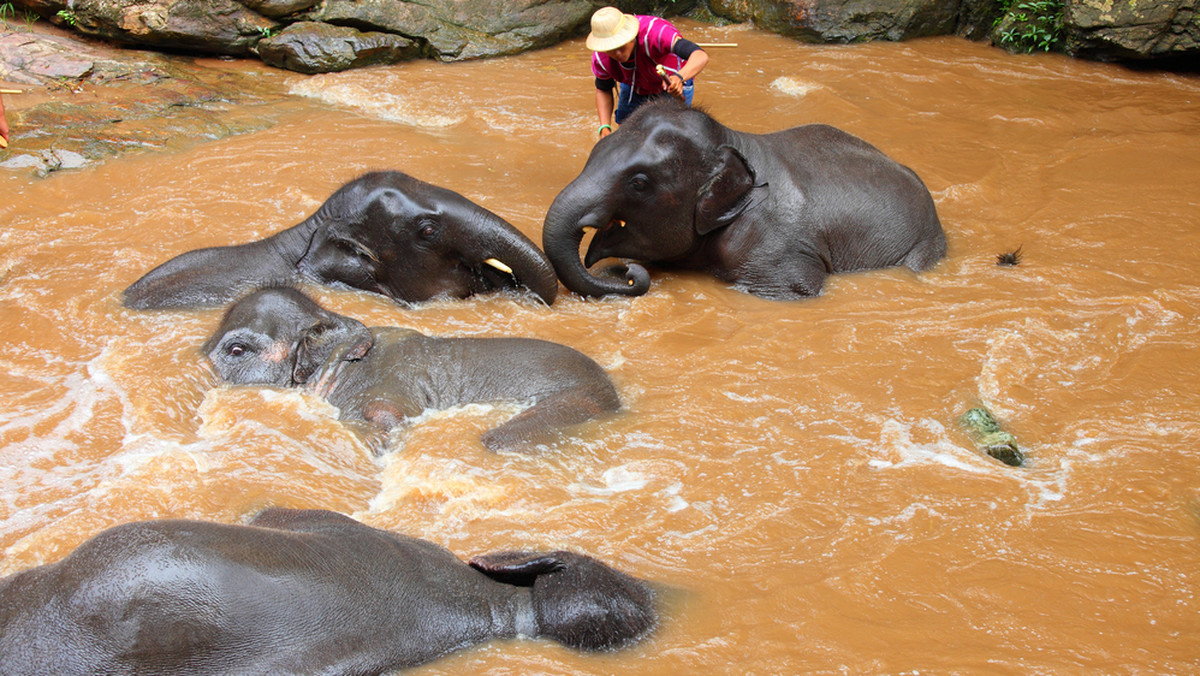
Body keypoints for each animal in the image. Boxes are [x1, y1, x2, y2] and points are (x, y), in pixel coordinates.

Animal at [544, 98, 945, 301]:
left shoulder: (772, 249)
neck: (734, 141)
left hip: (924, 247)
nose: (627, 272)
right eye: (595, 151)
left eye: (639, 183)